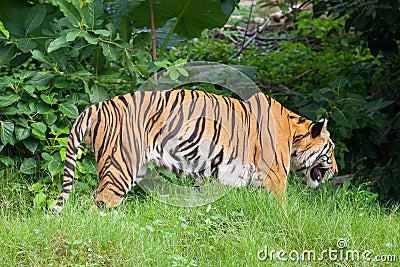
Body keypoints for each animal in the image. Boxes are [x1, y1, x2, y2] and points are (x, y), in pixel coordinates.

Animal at [51, 89, 336, 214]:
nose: (335, 170)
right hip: (120, 167)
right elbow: (281, 207)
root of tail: (96, 106)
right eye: (331, 149)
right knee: (99, 203)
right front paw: (286, 220)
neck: (293, 132)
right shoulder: (274, 177)